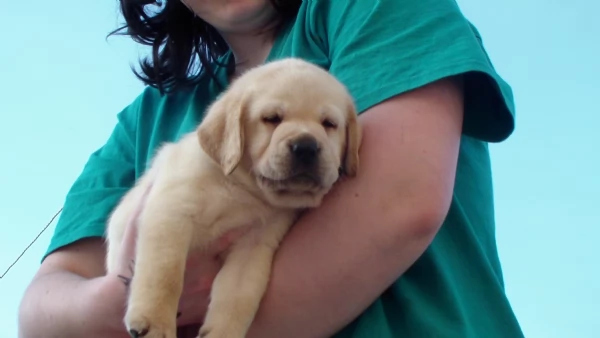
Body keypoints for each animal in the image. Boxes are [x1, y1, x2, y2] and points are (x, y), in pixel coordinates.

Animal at [104, 58, 360, 338]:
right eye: (272, 119)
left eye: (329, 124)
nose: (306, 147)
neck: (242, 189)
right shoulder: (171, 212)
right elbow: (165, 273)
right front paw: (155, 322)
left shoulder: (254, 244)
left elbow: (238, 296)